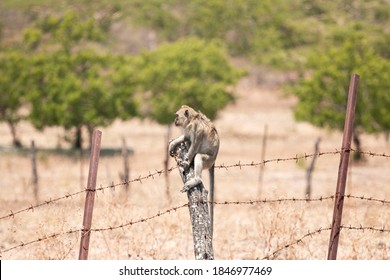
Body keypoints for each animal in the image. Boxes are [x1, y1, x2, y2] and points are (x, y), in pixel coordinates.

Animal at [168, 104, 219, 235]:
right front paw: (173, 144)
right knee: (188, 141)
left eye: (177, 115)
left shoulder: (196, 129)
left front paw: (186, 163)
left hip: (208, 160)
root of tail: (214, 161)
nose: (174, 120)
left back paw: (196, 179)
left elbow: (195, 145)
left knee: (198, 156)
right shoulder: (188, 129)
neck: (192, 119)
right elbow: (186, 137)